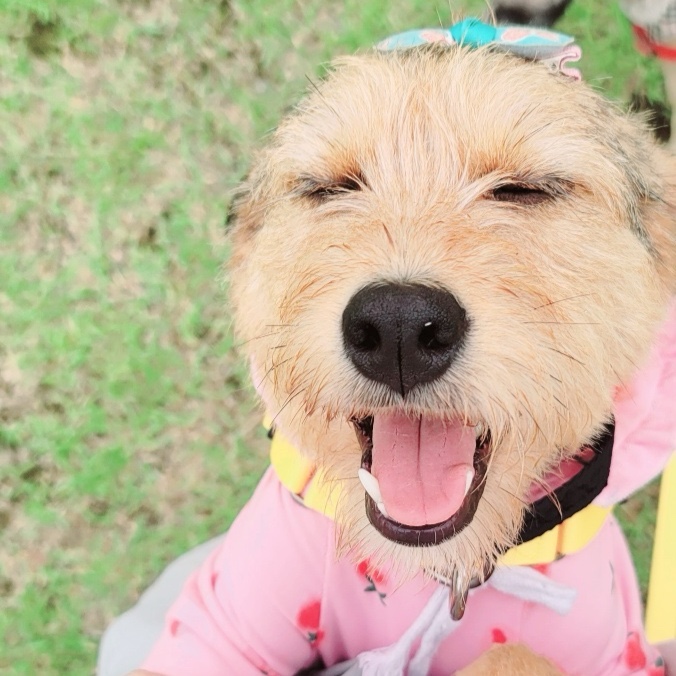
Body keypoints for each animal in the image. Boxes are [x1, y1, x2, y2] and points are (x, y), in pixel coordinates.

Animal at [125, 21, 676, 676]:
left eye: (526, 189)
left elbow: (516, 653)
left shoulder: (619, 650)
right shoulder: (218, 619)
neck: (439, 568)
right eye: (327, 187)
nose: (399, 327)